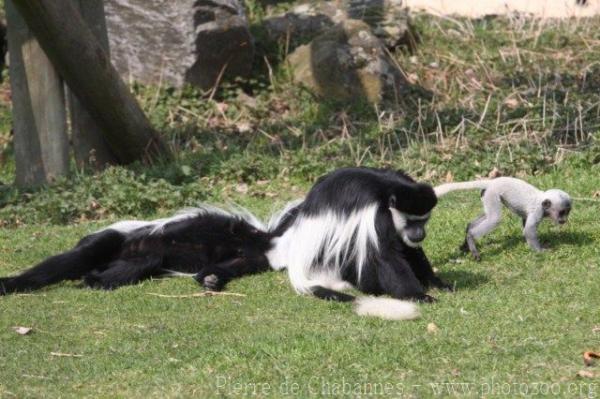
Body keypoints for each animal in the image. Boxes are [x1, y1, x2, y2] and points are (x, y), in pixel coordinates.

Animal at [0, 206, 272, 296]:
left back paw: (94, 280)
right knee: (77, 258)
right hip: (109, 240)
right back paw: (10, 284)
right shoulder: (209, 223)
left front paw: (212, 280)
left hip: (128, 257)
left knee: (147, 260)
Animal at [268, 168, 450, 322]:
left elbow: (410, 249)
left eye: (423, 220)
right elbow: (386, 256)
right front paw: (418, 296)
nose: (420, 233)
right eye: (410, 221)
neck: (389, 190)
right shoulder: (377, 216)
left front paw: (438, 284)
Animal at [436, 177, 572, 260]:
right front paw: (540, 251)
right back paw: (471, 238)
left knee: (487, 215)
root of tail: (492, 182)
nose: (564, 220)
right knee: (494, 218)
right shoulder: (537, 211)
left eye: (567, 212)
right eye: (562, 212)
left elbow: (525, 222)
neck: (541, 199)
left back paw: (467, 238)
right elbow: (528, 230)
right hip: (492, 194)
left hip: (486, 194)